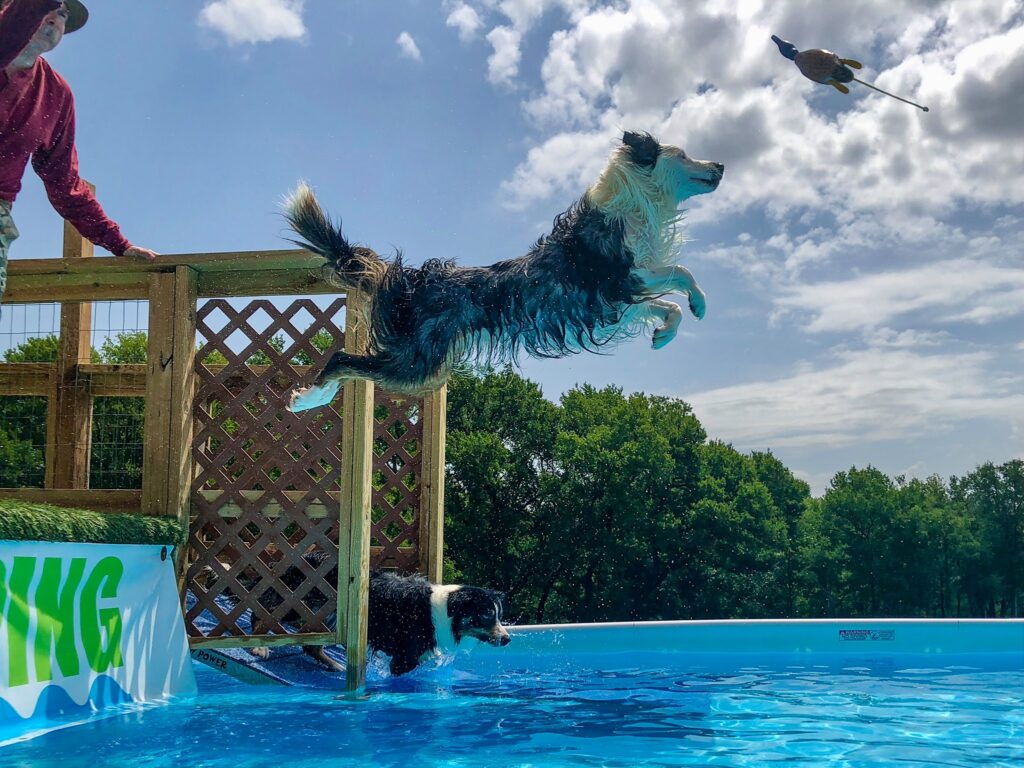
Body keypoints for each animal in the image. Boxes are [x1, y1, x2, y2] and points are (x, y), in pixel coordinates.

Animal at [243, 557, 507, 675]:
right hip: (299, 605)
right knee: (261, 610)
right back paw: (258, 646)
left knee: (310, 646)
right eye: (486, 615)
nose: (507, 639)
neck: (446, 610)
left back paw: (335, 665)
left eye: (498, 615)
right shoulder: (405, 655)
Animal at [284, 131, 724, 415]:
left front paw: (665, 333)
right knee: (342, 358)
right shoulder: (619, 279)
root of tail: (412, 278)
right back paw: (307, 400)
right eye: (684, 155)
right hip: (417, 362)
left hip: (420, 362)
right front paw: (700, 302)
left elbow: (667, 305)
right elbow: (681, 272)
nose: (720, 163)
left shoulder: (618, 301)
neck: (633, 205)